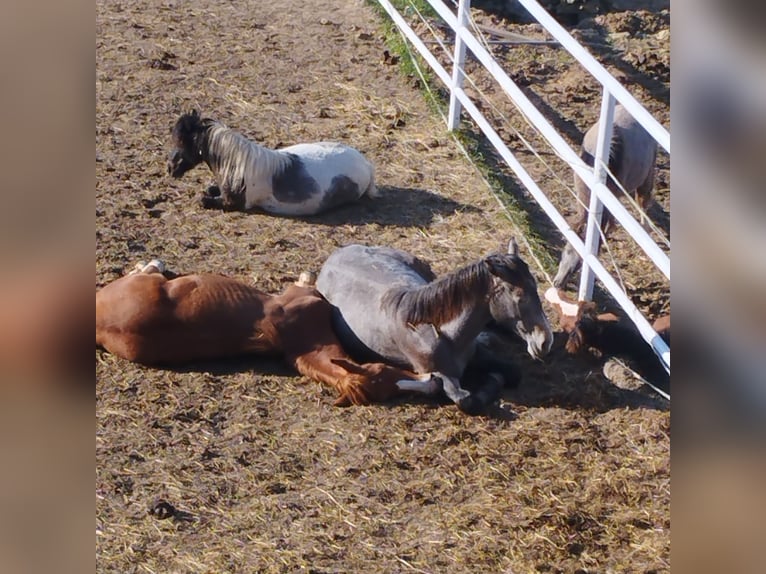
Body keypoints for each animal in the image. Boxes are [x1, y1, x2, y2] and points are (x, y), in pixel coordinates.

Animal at [168, 111, 378, 216]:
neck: (238, 165)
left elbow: (203, 199)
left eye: (183, 141)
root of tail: (366, 164)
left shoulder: (232, 204)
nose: (170, 168)